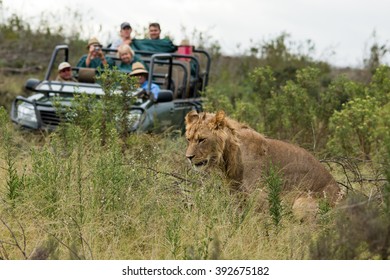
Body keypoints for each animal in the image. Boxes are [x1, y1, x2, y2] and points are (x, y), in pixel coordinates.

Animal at [185, 110, 342, 213]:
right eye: (188, 139)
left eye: (202, 139)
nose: (188, 157)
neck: (229, 156)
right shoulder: (237, 195)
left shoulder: (260, 194)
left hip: (301, 202)